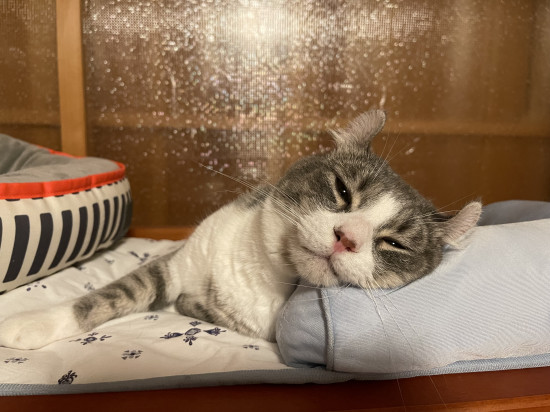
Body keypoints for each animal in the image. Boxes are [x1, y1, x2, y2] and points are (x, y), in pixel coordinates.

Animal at [0, 110, 481, 350]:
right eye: (343, 190)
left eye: (393, 243)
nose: (347, 237)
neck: (262, 272)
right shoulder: (178, 261)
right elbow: (112, 295)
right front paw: (32, 323)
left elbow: (194, 306)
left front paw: (190, 305)